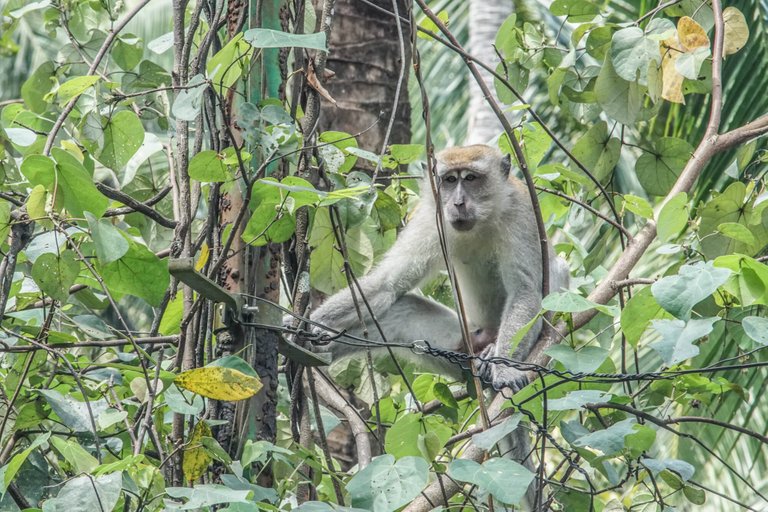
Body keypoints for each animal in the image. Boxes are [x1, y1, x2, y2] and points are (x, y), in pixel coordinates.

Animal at [308, 144, 568, 388]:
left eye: (470, 178)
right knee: (403, 309)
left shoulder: (522, 212)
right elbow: (388, 283)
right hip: (461, 347)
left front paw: (505, 369)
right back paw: (321, 350)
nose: (458, 202)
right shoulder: (431, 219)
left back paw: (491, 354)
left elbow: (525, 291)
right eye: (450, 180)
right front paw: (313, 322)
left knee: (559, 270)